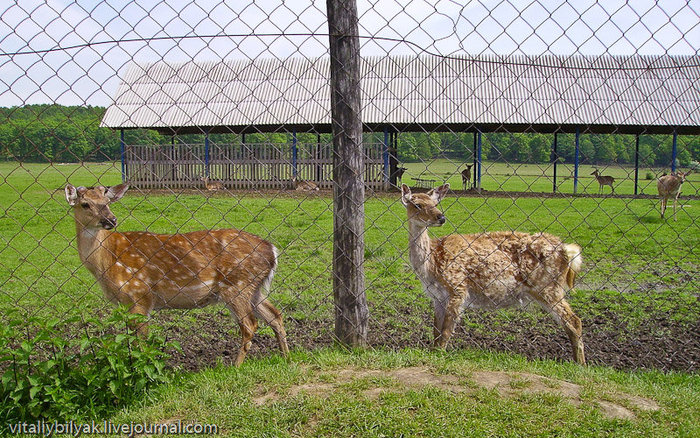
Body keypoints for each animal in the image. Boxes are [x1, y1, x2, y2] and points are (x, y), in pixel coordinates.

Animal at [63, 183, 288, 364]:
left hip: (236, 284)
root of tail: (272, 250)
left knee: (250, 324)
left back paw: (235, 366)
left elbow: (141, 342)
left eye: (107, 201)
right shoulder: (125, 303)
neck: (107, 261)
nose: (111, 220)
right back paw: (286, 356)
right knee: (275, 315)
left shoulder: (140, 294)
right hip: (253, 287)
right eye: (85, 204)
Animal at [400, 183, 584, 364]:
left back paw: (580, 363)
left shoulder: (458, 287)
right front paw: (433, 350)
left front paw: (439, 355)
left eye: (436, 204)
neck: (431, 265)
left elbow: (445, 332)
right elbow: (436, 330)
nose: (441, 217)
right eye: (417, 204)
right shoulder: (437, 296)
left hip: (547, 285)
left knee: (574, 320)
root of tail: (566, 250)